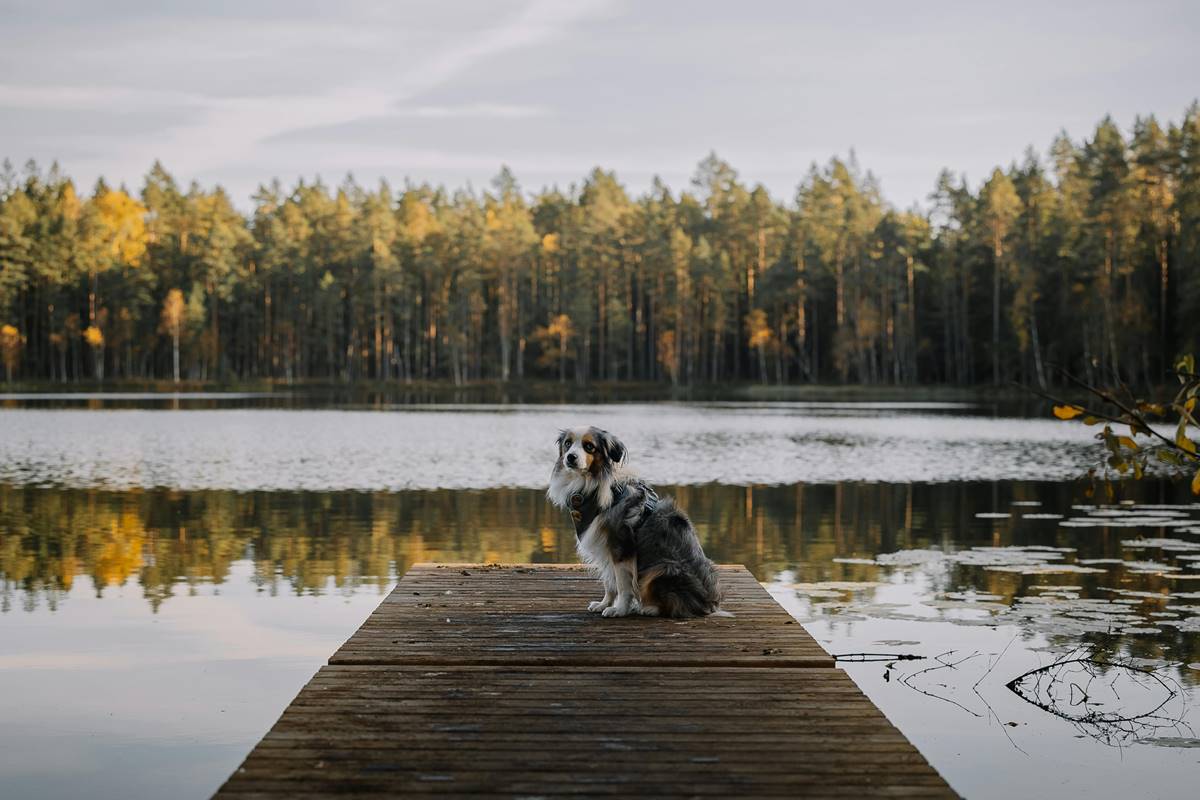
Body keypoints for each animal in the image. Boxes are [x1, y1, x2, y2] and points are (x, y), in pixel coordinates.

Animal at [547, 424, 720, 618]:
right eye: (568, 444)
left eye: (589, 446)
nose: (570, 457)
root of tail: (709, 605)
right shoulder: (605, 548)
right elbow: (609, 582)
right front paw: (604, 603)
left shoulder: (621, 547)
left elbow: (623, 585)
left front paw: (619, 609)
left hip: (662, 568)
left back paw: (648, 608)